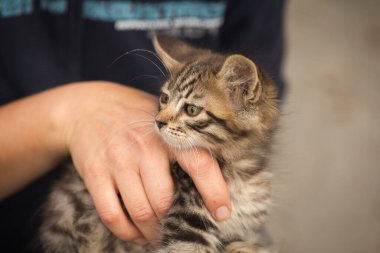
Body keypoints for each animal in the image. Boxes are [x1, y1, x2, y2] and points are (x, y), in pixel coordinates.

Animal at [40, 35, 280, 253]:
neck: (240, 172)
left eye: (192, 109)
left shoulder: (238, 235)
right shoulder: (187, 226)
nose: (159, 121)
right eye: (164, 98)